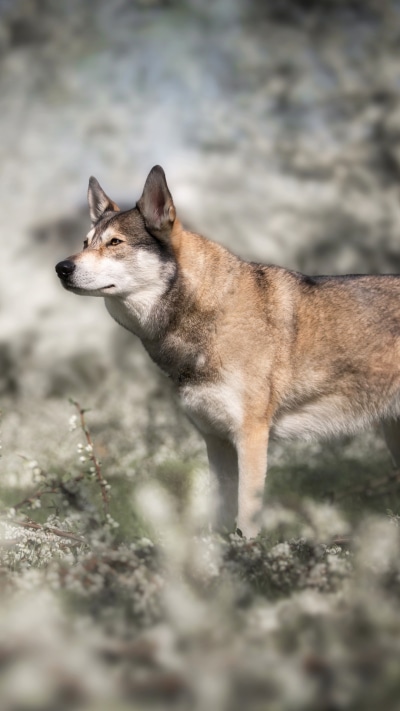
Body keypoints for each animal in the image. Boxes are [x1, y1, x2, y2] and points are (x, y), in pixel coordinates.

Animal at [56, 165, 400, 537]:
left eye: (115, 242)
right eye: (85, 243)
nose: (62, 268)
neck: (210, 313)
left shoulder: (251, 437)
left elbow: (246, 520)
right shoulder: (215, 441)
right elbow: (218, 518)